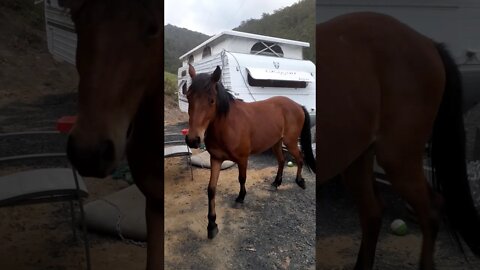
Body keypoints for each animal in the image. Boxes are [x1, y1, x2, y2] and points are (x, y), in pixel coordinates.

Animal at [184, 63, 316, 238]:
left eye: (211, 100)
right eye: (188, 97)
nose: (193, 139)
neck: (227, 126)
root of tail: (297, 106)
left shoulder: (242, 159)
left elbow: (242, 179)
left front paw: (240, 198)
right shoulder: (216, 159)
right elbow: (211, 189)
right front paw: (212, 224)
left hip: (290, 142)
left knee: (300, 159)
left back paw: (300, 181)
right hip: (276, 143)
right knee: (281, 161)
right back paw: (276, 183)